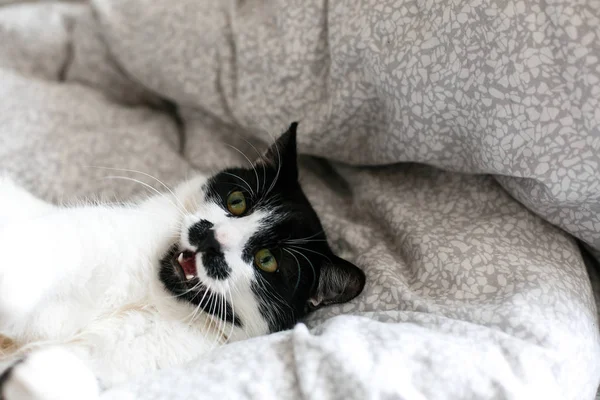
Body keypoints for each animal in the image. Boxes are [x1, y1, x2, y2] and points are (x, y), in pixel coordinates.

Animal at [0, 123, 366, 398]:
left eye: (268, 261)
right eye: (237, 201)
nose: (211, 236)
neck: (150, 296)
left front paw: (42, 374)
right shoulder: (81, 243)